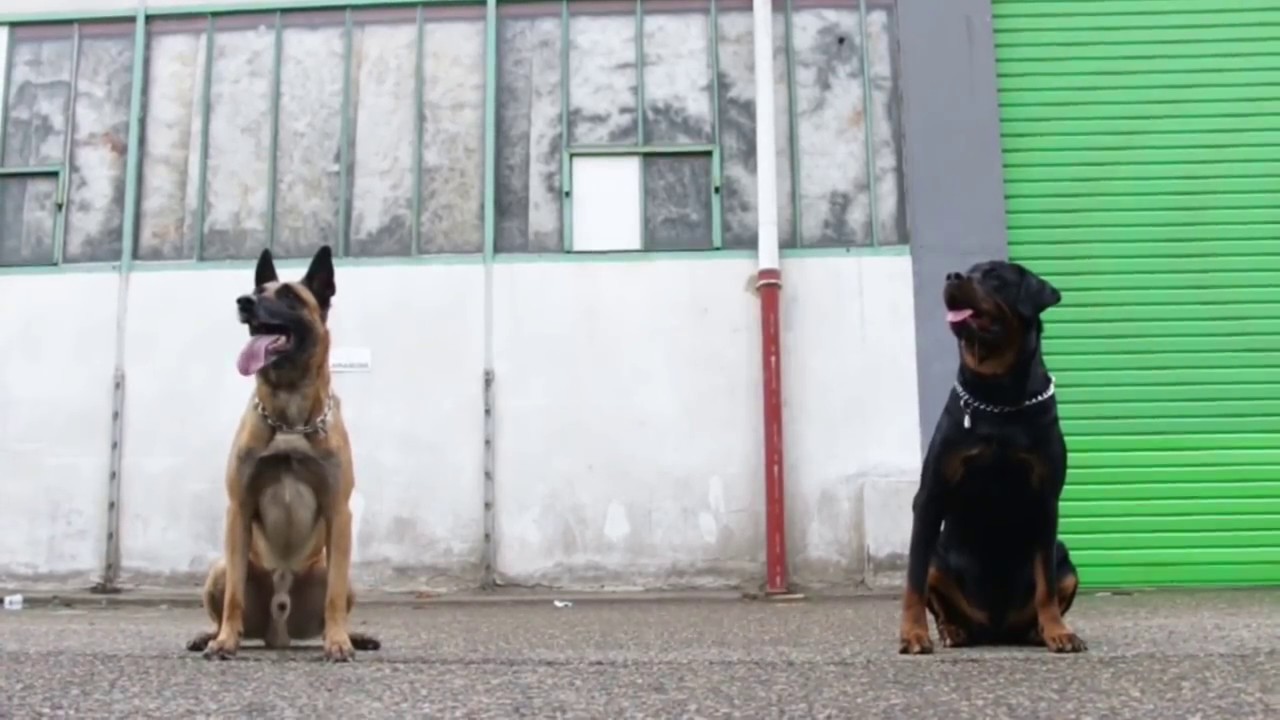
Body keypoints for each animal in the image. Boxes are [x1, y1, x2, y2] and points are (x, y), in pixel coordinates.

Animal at [184, 243, 378, 661]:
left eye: (290, 297)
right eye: (257, 292)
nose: (244, 302)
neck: (289, 415)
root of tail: (279, 631)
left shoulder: (339, 512)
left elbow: (333, 596)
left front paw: (338, 642)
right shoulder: (238, 509)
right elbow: (235, 597)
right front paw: (225, 641)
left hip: (337, 572)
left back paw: (354, 636)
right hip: (219, 568)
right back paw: (209, 635)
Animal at [896, 260, 1085, 653]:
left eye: (996, 277)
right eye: (968, 271)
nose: (952, 277)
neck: (997, 394)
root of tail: (996, 630)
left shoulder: (1046, 499)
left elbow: (1045, 583)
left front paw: (1058, 631)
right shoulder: (930, 497)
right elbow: (914, 579)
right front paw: (913, 634)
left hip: (1065, 558)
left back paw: (1037, 631)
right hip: (940, 555)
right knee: (940, 595)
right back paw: (953, 631)